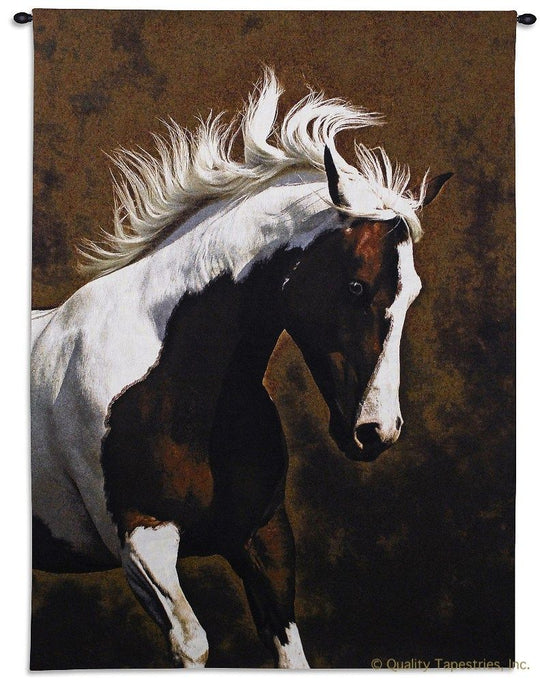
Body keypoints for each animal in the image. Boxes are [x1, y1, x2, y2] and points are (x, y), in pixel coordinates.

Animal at [31, 70, 451, 668]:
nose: (378, 432)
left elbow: (291, 652)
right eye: (356, 286)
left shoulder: (265, 536)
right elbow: (193, 643)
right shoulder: (142, 545)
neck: (175, 386)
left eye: (412, 294)